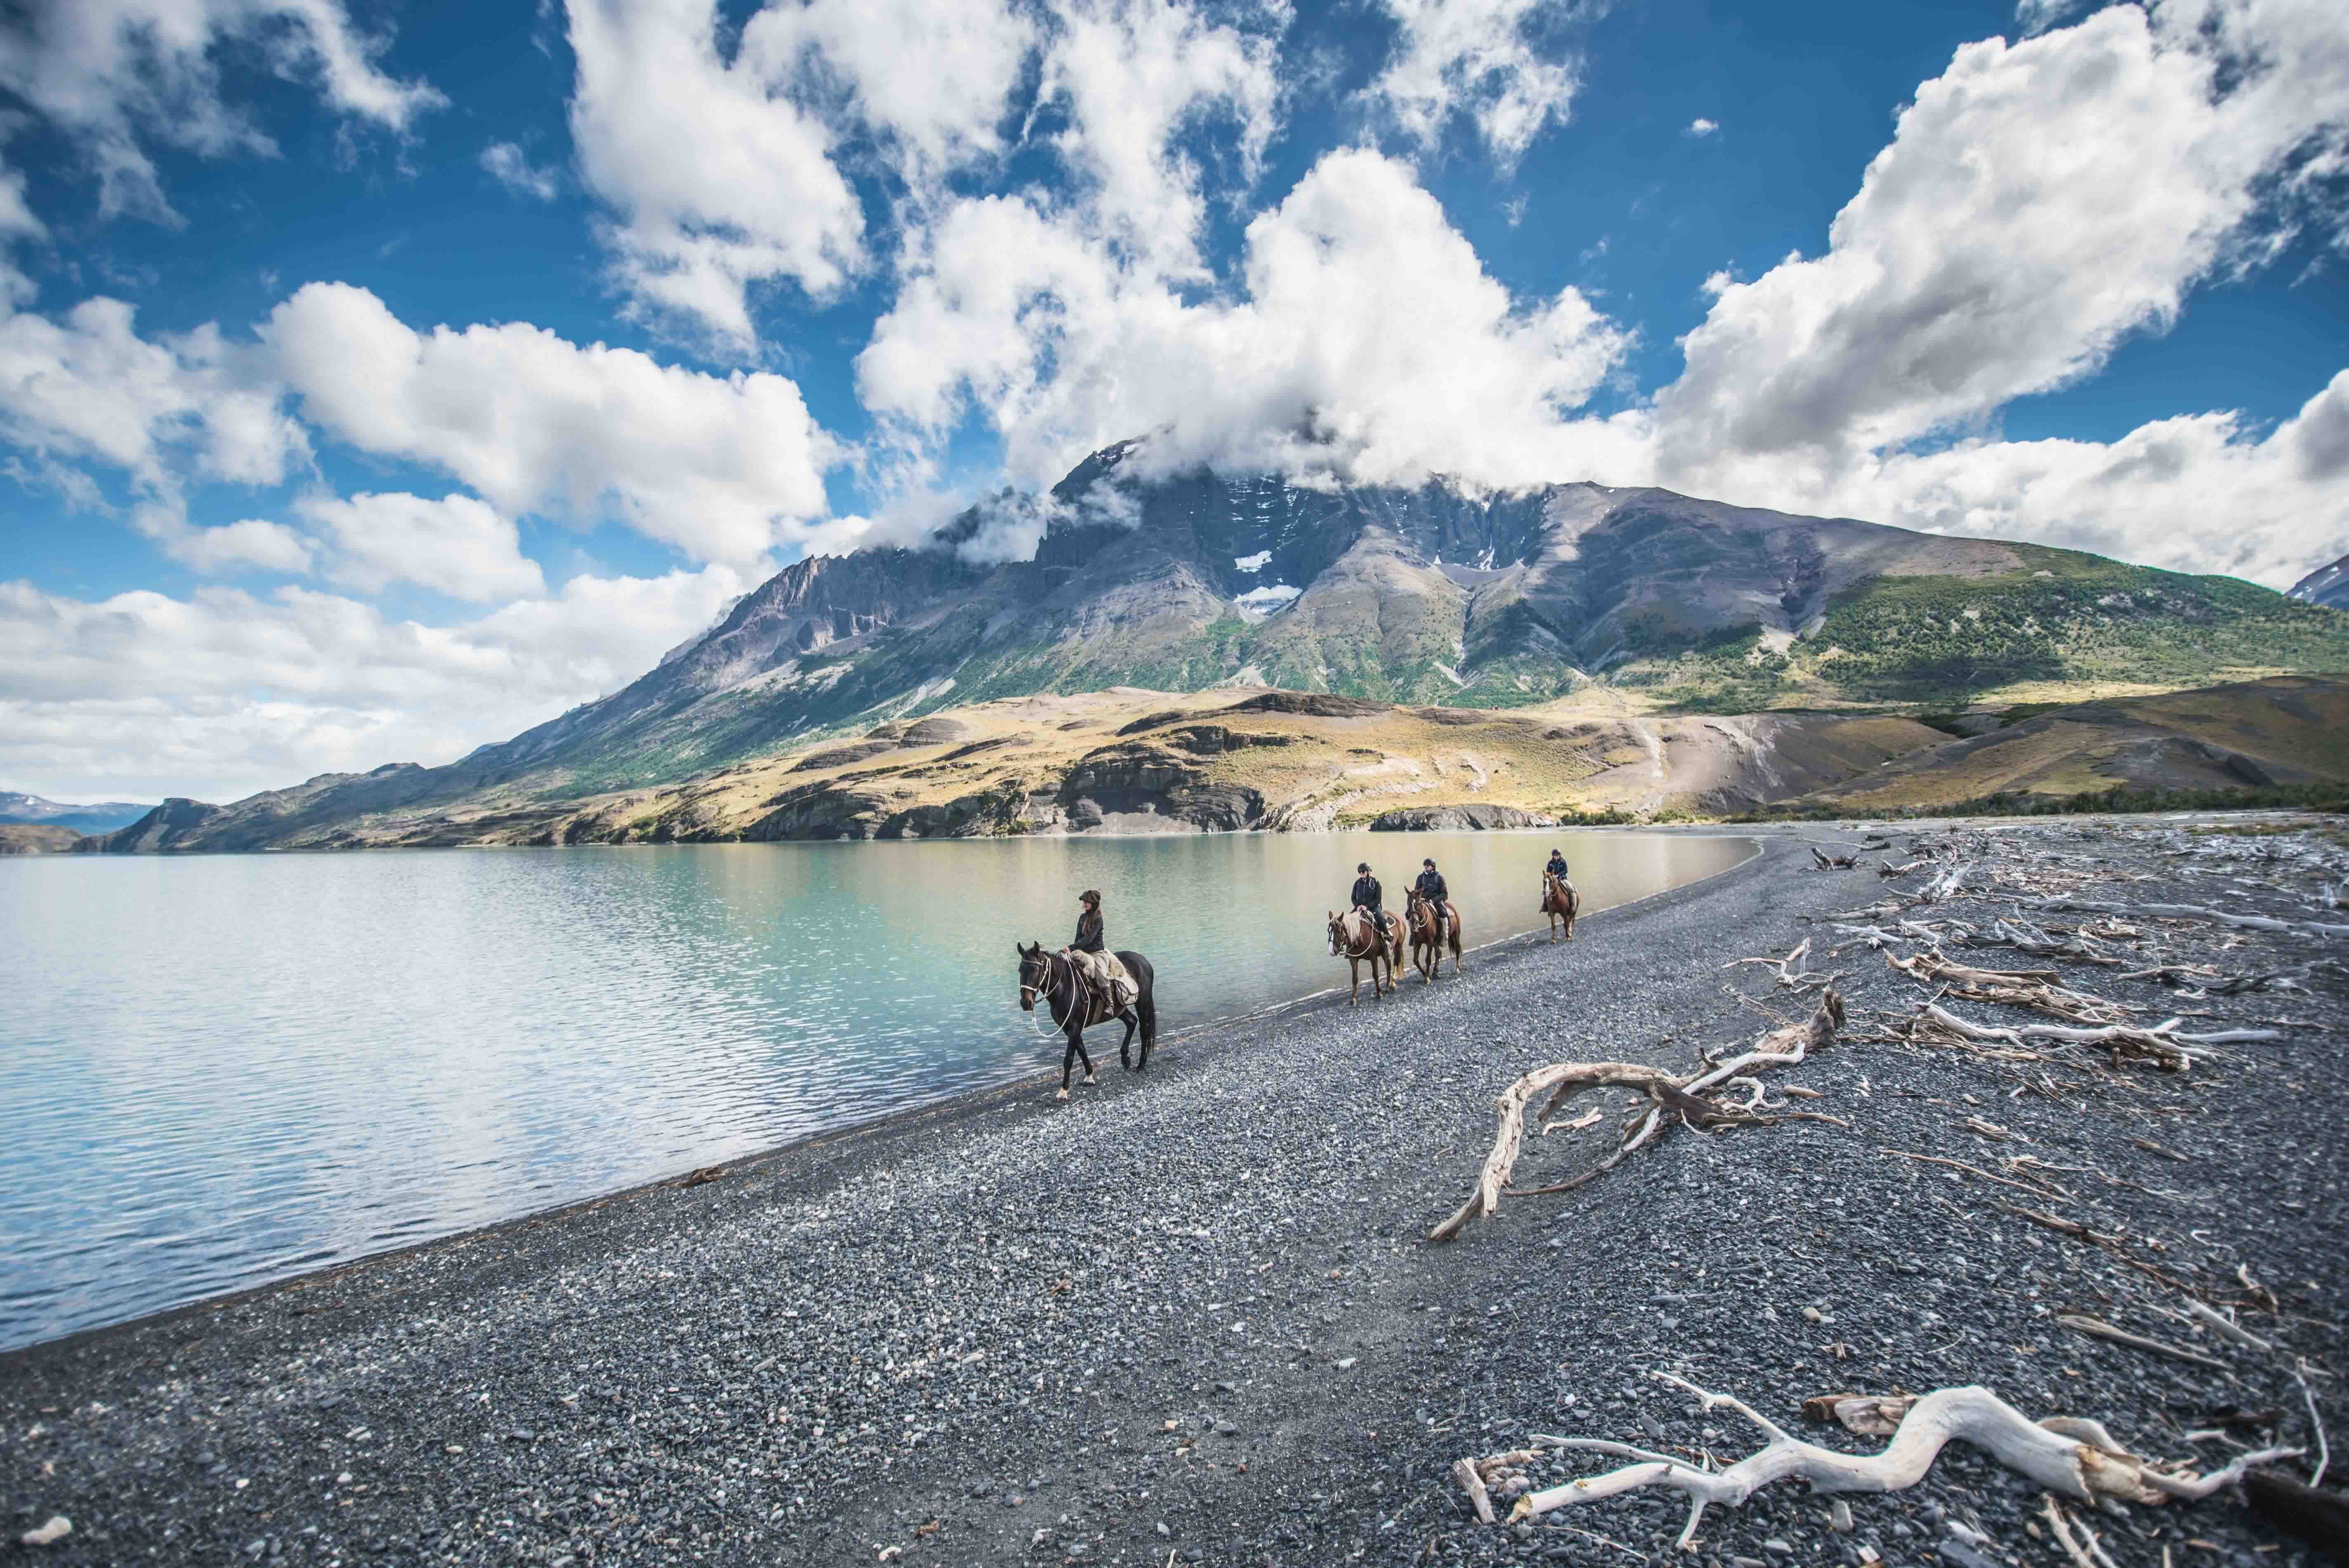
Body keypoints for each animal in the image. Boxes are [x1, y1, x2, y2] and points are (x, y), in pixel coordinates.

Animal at [1010, 943, 1156, 1103]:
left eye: (1035, 970)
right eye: (1020, 970)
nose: (1026, 1003)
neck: (1064, 987)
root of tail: (1144, 961)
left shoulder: (1075, 1026)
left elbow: (1069, 1058)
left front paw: (1063, 1091)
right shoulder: (1069, 1028)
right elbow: (1082, 1052)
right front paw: (1089, 1077)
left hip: (1142, 1002)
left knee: (1144, 1030)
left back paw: (1141, 1064)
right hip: (1120, 1010)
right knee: (1131, 1022)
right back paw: (1125, 1059)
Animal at [1325, 906, 1390, 1004]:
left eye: (1339, 931)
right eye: (1328, 931)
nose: (1332, 951)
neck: (1359, 938)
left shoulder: (1373, 958)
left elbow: (1375, 975)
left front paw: (1379, 994)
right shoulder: (1353, 959)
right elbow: (1354, 979)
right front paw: (1354, 999)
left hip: (1386, 952)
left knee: (1389, 966)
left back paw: (1390, 986)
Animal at [1400, 887, 1456, 986]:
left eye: (1418, 903)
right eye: (1408, 903)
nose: (1414, 922)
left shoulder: (1429, 942)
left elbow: (1428, 959)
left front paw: (1427, 978)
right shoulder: (1417, 942)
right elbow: (1415, 960)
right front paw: (1427, 974)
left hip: (1454, 935)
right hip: (1436, 942)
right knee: (1438, 953)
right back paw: (1435, 972)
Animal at [1541, 868, 1578, 943]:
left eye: (1551, 881)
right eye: (1544, 881)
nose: (1547, 895)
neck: (1557, 898)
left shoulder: (1564, 913)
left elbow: (1566, 924)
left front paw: (1567, 937)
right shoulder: (1552, 913)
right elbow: (1553, 926)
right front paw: (1554, 940)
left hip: (1573, 911)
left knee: (1571, 921)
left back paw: (1570, 933)